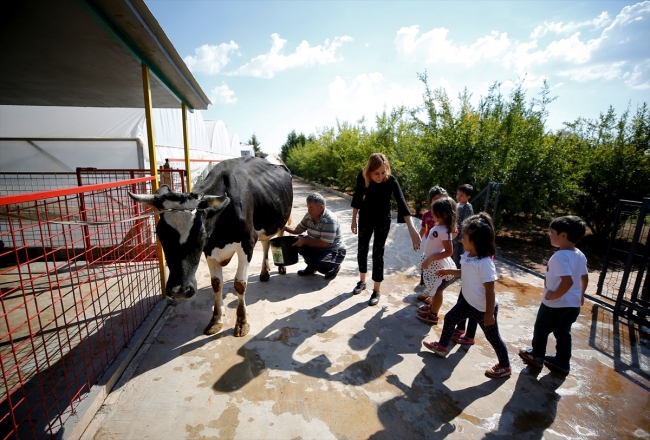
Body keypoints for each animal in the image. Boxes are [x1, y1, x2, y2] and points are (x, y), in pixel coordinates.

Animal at [129, 157, 292, 336]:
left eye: (200, 235)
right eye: (160, 235)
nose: (180, 291)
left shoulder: (247, 242)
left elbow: (240, 284)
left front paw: (241, 323)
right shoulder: (209, 249)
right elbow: (216, 283)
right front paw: (216, 320)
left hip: (282, 219)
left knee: (274, 238)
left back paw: (279, 268)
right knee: (265, 242)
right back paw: (264, 272)